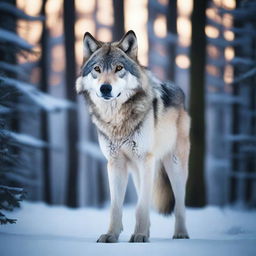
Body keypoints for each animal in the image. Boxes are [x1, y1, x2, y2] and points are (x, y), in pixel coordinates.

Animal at [76, 30, 190, 242]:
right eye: (97, 69)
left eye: (119, 68)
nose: (105, 88)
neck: (117, 121)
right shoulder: (115, 164)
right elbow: (116, 207)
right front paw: (111, 235)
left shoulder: (145, 160)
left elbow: (141, 206)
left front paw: (139, 235)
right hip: (139, 171)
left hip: (174, 166)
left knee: (179, 204)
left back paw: (180, 234)